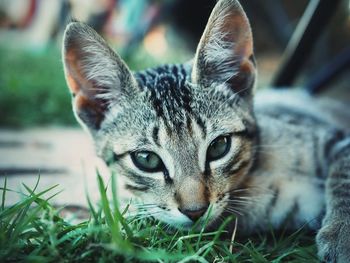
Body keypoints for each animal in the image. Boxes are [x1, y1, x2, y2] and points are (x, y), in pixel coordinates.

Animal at [61, 0, 350, 262]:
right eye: (146, 159)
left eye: (219, 146)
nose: (195, 210)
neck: (253, 183)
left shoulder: (336, 139)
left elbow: (344, 174)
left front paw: (342, 236)